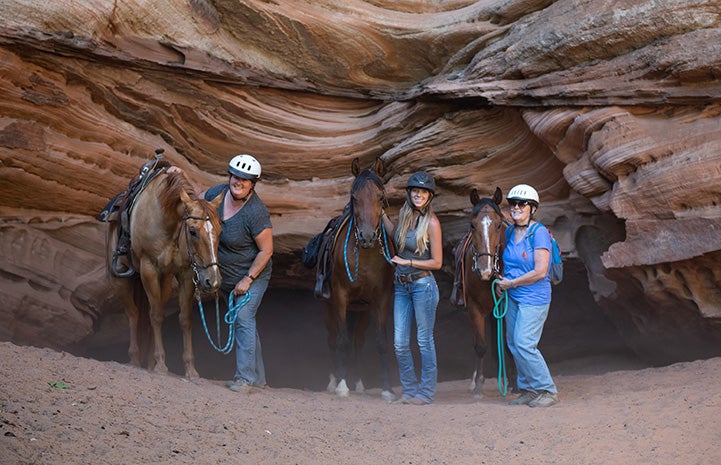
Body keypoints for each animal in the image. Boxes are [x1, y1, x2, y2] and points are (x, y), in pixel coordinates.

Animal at [106, 169, 222, 378]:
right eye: (193, 231)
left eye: (220, 230)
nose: (213, 281)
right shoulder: (149, 269)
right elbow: (156, 315)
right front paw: (160, 364)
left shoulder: (185, 274)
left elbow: (185, 319)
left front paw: (190, 369)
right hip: (120, 279)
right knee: (133, 314)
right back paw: (135, 359)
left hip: (165, 281)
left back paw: (149, 362)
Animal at [456, 187, 512, 396]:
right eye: (472, 225)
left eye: (498, 225)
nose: (484, 270)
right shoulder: (474, 308)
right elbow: (480, 346)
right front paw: (478, 386)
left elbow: (506, 344)